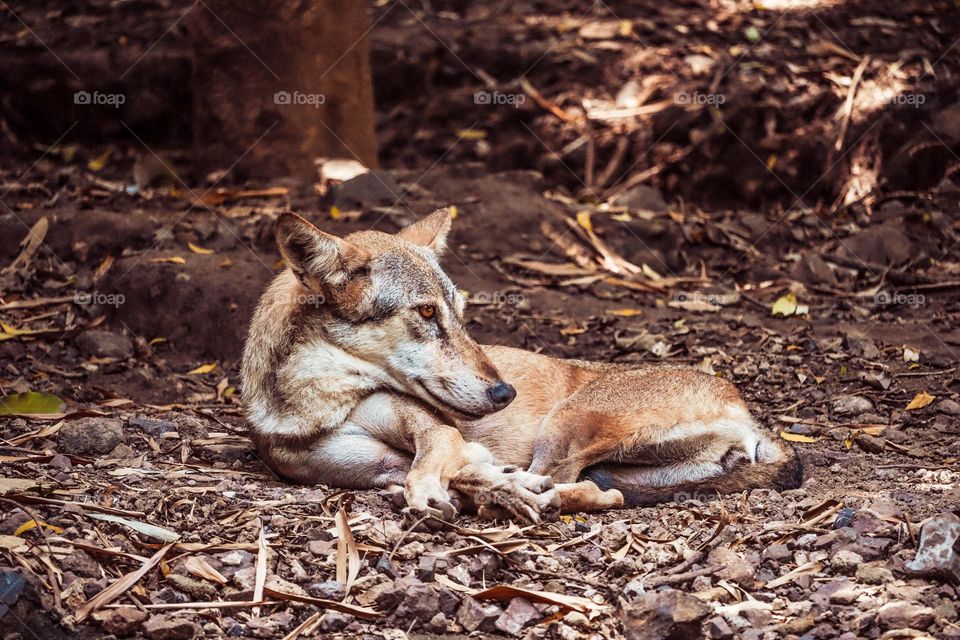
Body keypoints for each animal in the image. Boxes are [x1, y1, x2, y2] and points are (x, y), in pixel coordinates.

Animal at [241, 208, 803, 522]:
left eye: (460, 313)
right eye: (426, 313)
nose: (503, 394)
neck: (318, 406)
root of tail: (748, 412)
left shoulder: (441, 435)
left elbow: (434, 465)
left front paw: (443, 495)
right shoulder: (383, 469)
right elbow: (441, 473)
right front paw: (475, 489)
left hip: (564, 428)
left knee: (577, 487)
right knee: (600, 489)